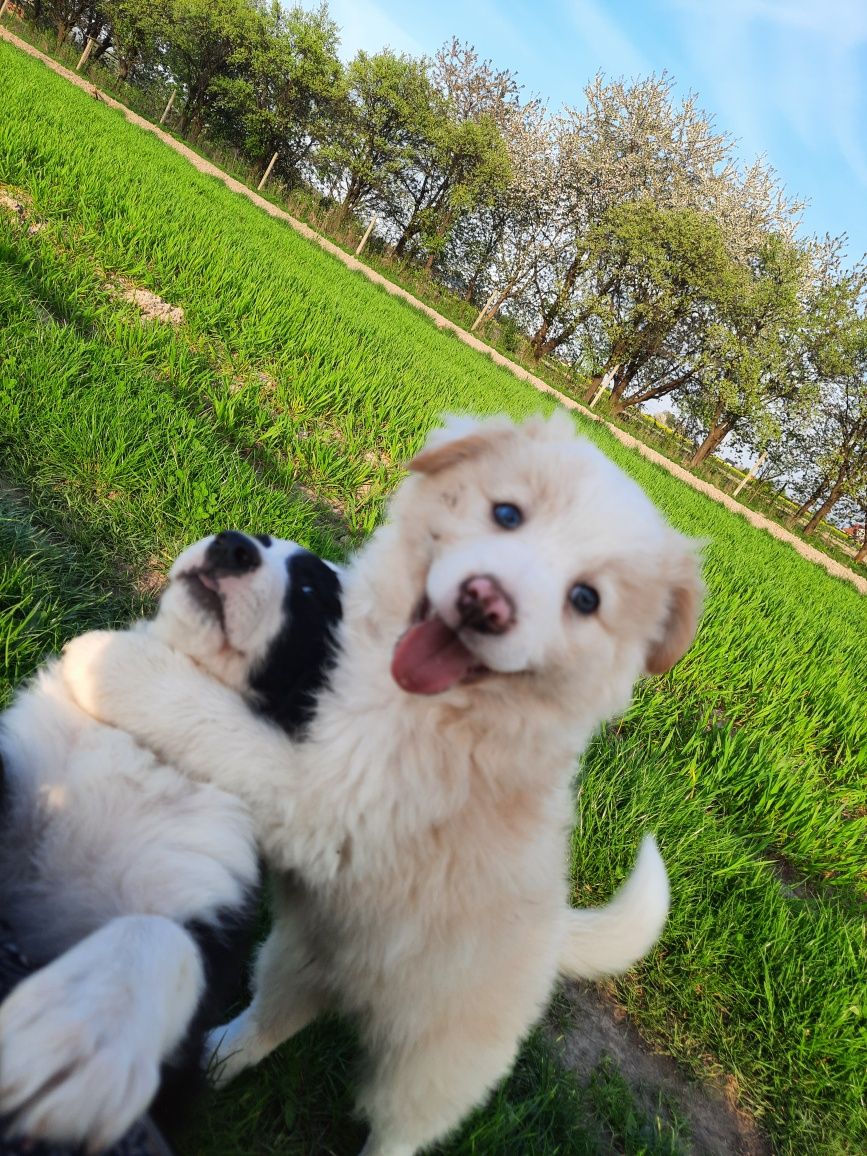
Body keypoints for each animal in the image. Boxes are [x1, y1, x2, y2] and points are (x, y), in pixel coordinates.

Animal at [0, 531, 342, 1146]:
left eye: (309, 588)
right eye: (265, 541)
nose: (232, 546)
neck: (153, 752)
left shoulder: (209, 906)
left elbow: (164, 937)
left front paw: (81, 1039)